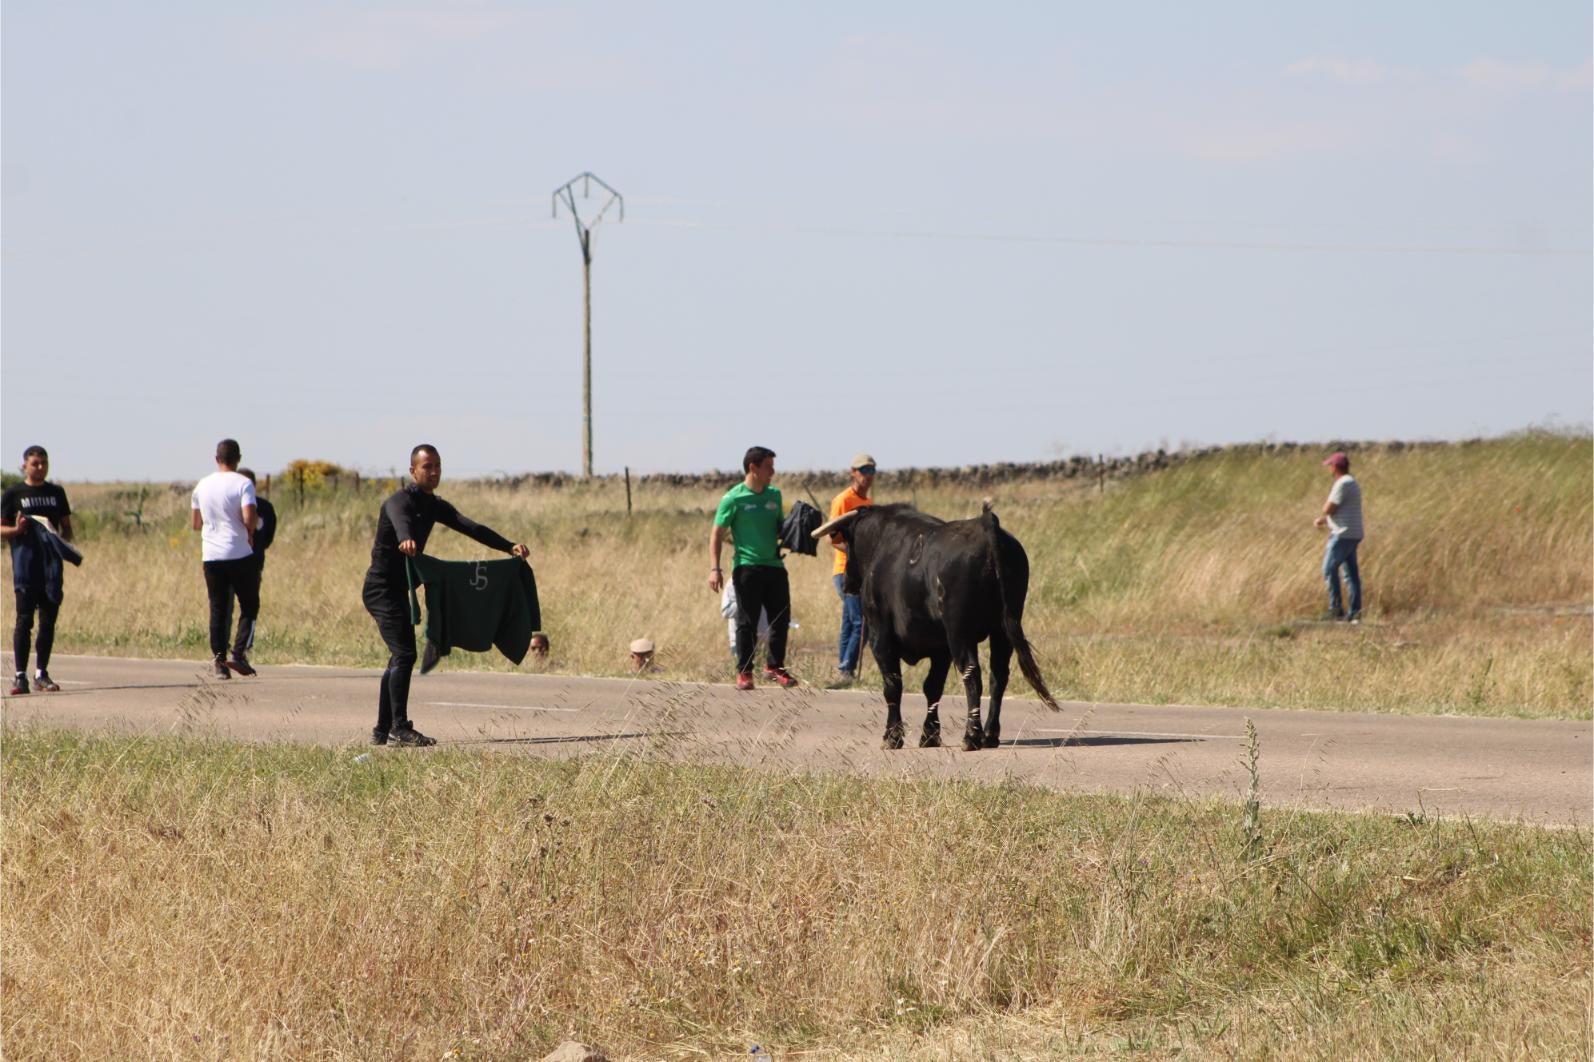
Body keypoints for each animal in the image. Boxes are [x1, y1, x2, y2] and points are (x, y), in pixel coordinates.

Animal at [809, 500, 1058, 749]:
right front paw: (930, 735)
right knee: (998, 676)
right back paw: (989, 734)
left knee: (972, 675)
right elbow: (933, 687)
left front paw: (892, 736)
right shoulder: (941, 648)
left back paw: (971, 736)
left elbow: (893, 686)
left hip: (960, 632)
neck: (880, 542)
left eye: (847, 544)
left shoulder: (880, 637)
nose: (847, 583)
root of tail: (984, 525)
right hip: (1002, 629)